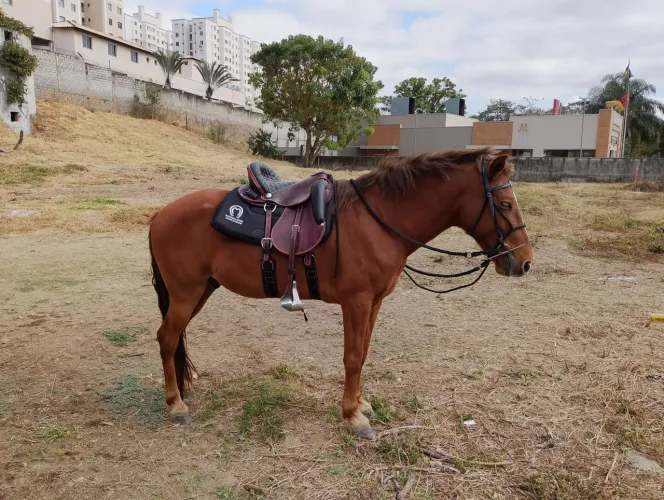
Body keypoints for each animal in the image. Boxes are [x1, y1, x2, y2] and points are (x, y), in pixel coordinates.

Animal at [147, 147, 533, 439]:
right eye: (505, 205)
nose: (525, 262)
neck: (378, 222)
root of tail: (160, 215)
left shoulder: (374, 303)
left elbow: (363, 353)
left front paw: (360, 404)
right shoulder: (356, 302)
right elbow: (352, 357)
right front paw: (352, 416)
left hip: (200, 291)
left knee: (176, 338)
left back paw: (183, 388)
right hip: (186, 294)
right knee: (167, 338)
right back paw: (175, 404)